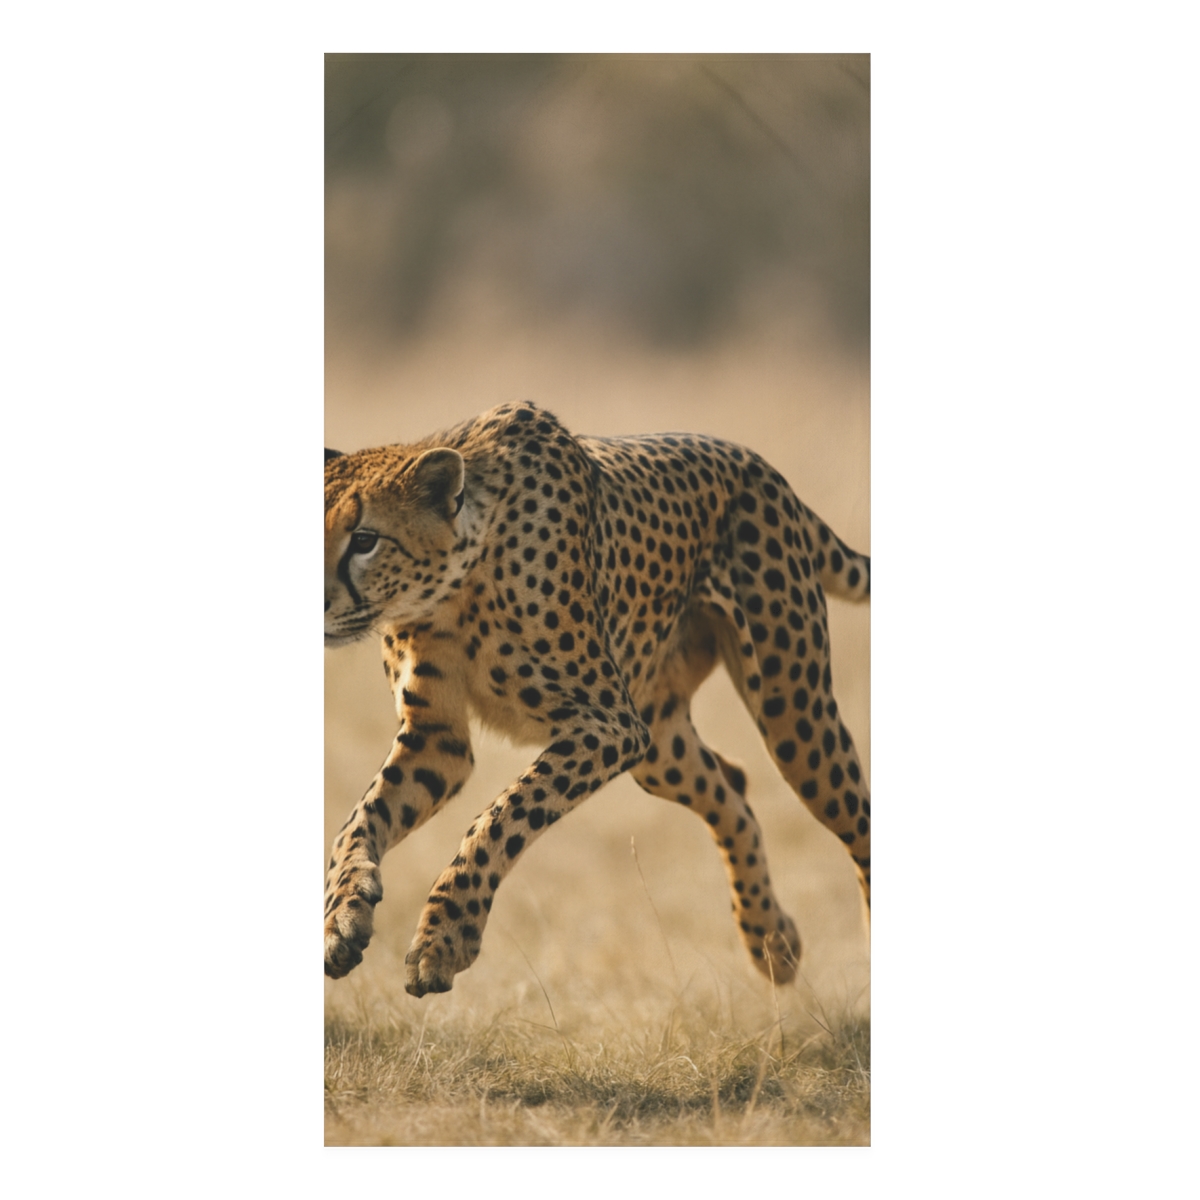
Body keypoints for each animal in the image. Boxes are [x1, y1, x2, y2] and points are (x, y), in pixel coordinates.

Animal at [324, 401, 870, 997]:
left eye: (364, 539)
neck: (453, 588)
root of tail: (760, 466)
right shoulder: (437, 741)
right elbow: (361, 820)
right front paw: (343, 916)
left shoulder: (607, 725)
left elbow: (502, 817)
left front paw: (444, 940)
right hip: (661, 746)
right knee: (735, 787)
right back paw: (770, 941)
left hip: (793, 718)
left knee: (858, 820)